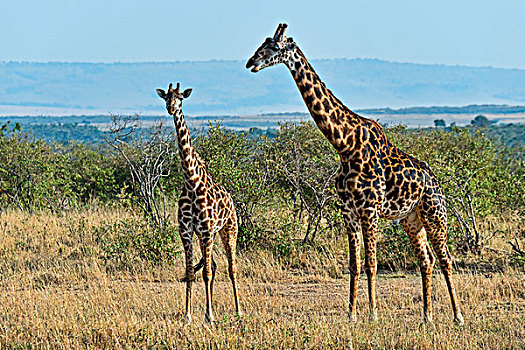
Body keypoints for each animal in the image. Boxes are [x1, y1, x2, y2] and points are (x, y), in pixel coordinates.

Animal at [157, 82, 241, 322]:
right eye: (166, 97)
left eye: (181, 98)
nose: (171, 108)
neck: (191, 181)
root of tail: (231, 198)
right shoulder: (186, 231)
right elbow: (190, 272)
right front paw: (189, 315)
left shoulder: (205, 230)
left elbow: (206, 273)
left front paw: (210, 316)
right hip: (209, 236)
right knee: (213, 265)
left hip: (228, 230)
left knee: (230, 268)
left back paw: (238, 311)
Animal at [246, 24, 462, 324]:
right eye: (262, 43)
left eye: (275, 47)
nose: (251, 62)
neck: (345, 144)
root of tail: (437, 183)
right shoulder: (348, 209)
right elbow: (353, 264)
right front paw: (351, 314)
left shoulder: (369, 208)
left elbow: (371, 263)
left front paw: (372, 315)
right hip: (411, 219)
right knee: (426, 260)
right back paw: (427, 316)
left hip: (434, 214)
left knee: (445, 259)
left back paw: (457, 316)